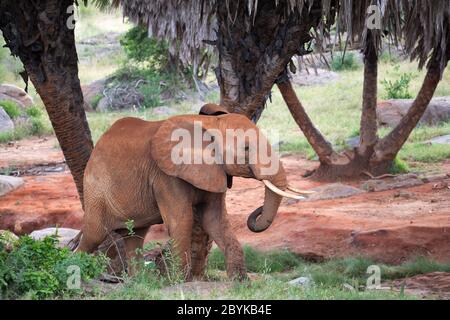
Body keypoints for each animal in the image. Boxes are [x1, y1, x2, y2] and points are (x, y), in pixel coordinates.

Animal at [75, 104, 306, 278]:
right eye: (247, 148)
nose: (256, 212)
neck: (209, 125)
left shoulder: (215, 170)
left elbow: (215, 220)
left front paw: (241, 282)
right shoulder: (166, 175)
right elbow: (183, 220)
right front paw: (177, 281)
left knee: (135, 237)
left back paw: (139, 281)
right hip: (96, 188)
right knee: (94, 234)